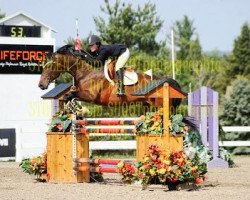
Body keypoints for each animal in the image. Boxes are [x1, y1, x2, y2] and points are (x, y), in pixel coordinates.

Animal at [39, 45, 183, 107]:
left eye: (49, 66)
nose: (41, 85)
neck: (85, 74)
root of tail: (165, 81)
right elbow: (70, 95)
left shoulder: (91, 96)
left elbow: (72, 94)